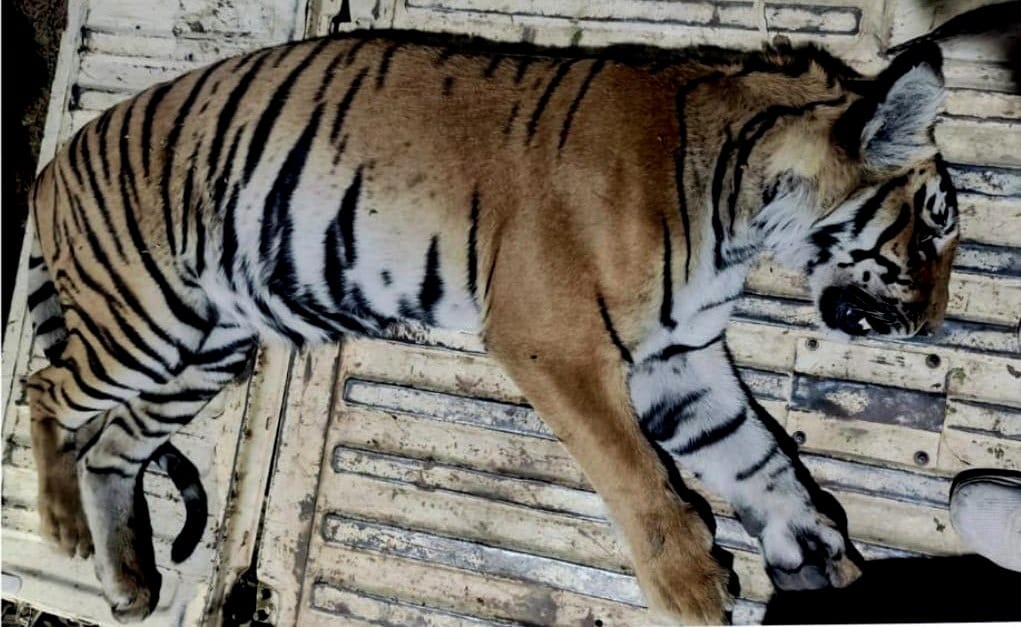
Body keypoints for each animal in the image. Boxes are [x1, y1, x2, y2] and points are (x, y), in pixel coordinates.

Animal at [24, 28, 959, 624]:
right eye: (930, 230)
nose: (930, 327)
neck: (740, 208)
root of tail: (50, 164)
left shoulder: (681, 358)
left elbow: (758, 456)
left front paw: (818, 546)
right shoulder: (553, 343)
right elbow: (633, 475)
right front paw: (691, 586)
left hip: (204, 350)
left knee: (113, 446)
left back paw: (130, 585)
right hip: (142, 321)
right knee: (48, 388)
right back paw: (62, 527)